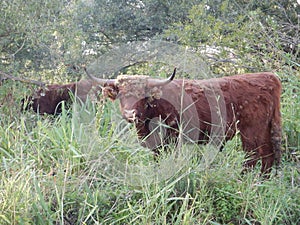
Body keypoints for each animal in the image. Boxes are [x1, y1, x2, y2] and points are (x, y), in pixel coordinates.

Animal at [86, 68, 282, 176]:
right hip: (264, 129)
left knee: (253, 156)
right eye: (120, 94)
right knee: (268, 155)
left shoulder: (172, 138)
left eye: (143, 95)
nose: (129, 113)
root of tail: (268, 77)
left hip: (251, 130)